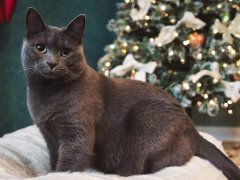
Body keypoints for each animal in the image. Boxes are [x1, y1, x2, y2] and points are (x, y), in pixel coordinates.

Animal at [21, 8, 240, 179]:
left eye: (65, 52)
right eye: (40, 48)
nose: (51, 63)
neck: (47, 93)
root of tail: (194, 130)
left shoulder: (76, 135)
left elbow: (67, 165)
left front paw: (56, 174)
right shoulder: (49, 137)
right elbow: (54, 159)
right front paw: (50, 171)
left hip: (145, 116)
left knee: (136, 169)